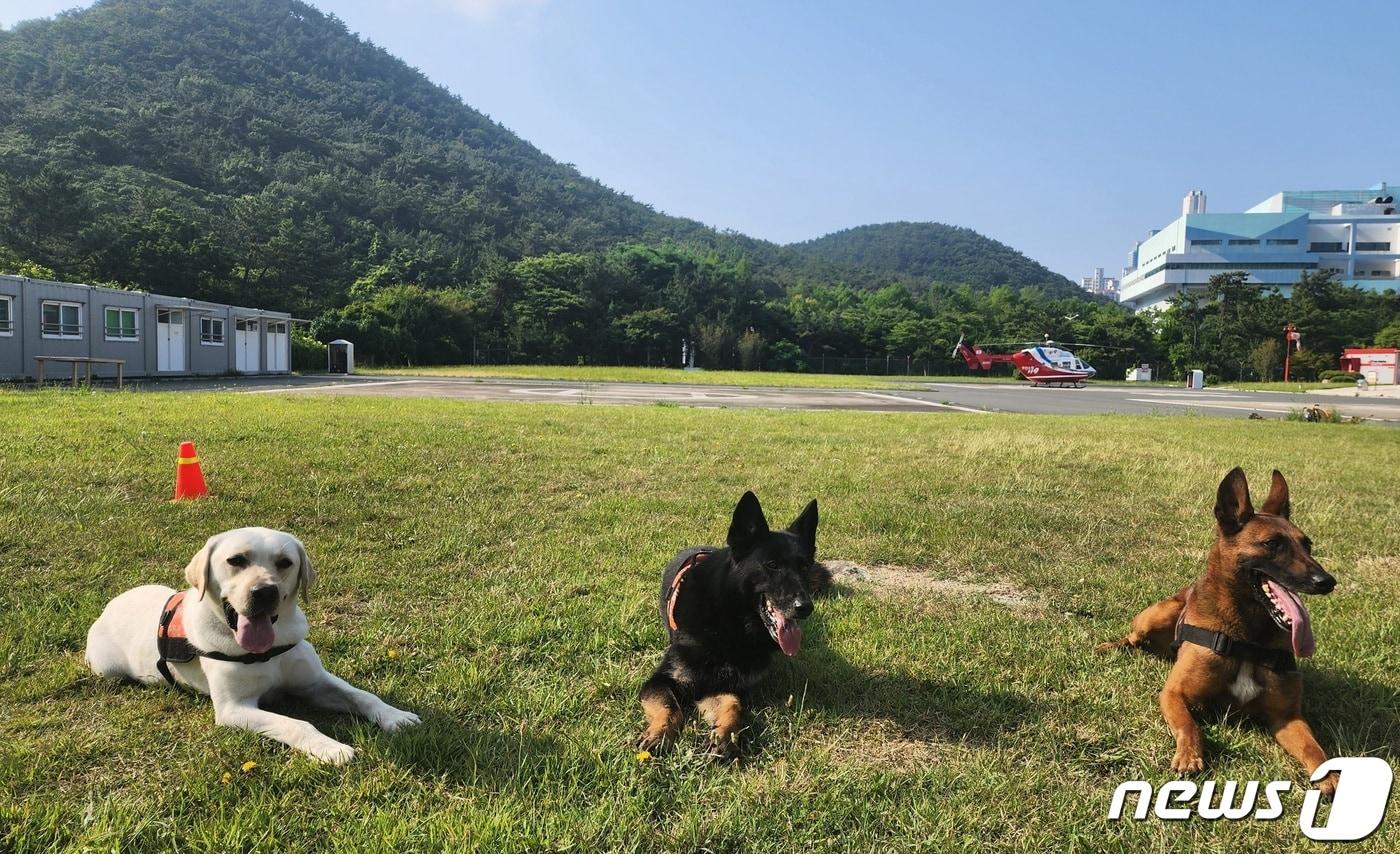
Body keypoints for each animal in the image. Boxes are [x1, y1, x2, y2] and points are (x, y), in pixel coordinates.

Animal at [82, 526, 417, 756]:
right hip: (106, 669)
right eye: (236, 560)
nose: (264, 592)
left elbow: (362, 695)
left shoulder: (315, 683)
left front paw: (396, 716)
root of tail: (111, 605)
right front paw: (330, 748)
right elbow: (296, 723)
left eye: (285, 562)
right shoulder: (234, 708)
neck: (268, 651)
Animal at [638, 490, 823, 756]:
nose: (805, 608)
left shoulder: (725, 687)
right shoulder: (660, 680)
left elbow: (734, 707)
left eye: (805, 566)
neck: (731, 625)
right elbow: (669, 707)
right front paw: (660, 733)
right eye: (772, 565)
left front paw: (725, 736)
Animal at [1097, 464, 1338, 789]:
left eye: (1307, 545)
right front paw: (1189, 756)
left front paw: (1332, 776)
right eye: (1272, 544)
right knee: (1133, 637)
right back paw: (1111, 646)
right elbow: (1190, 726)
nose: (1326, 581)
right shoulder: (1174, 693)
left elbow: (1315, 748)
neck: (1249, 638)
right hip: (1155, 615)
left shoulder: (1288, 717)